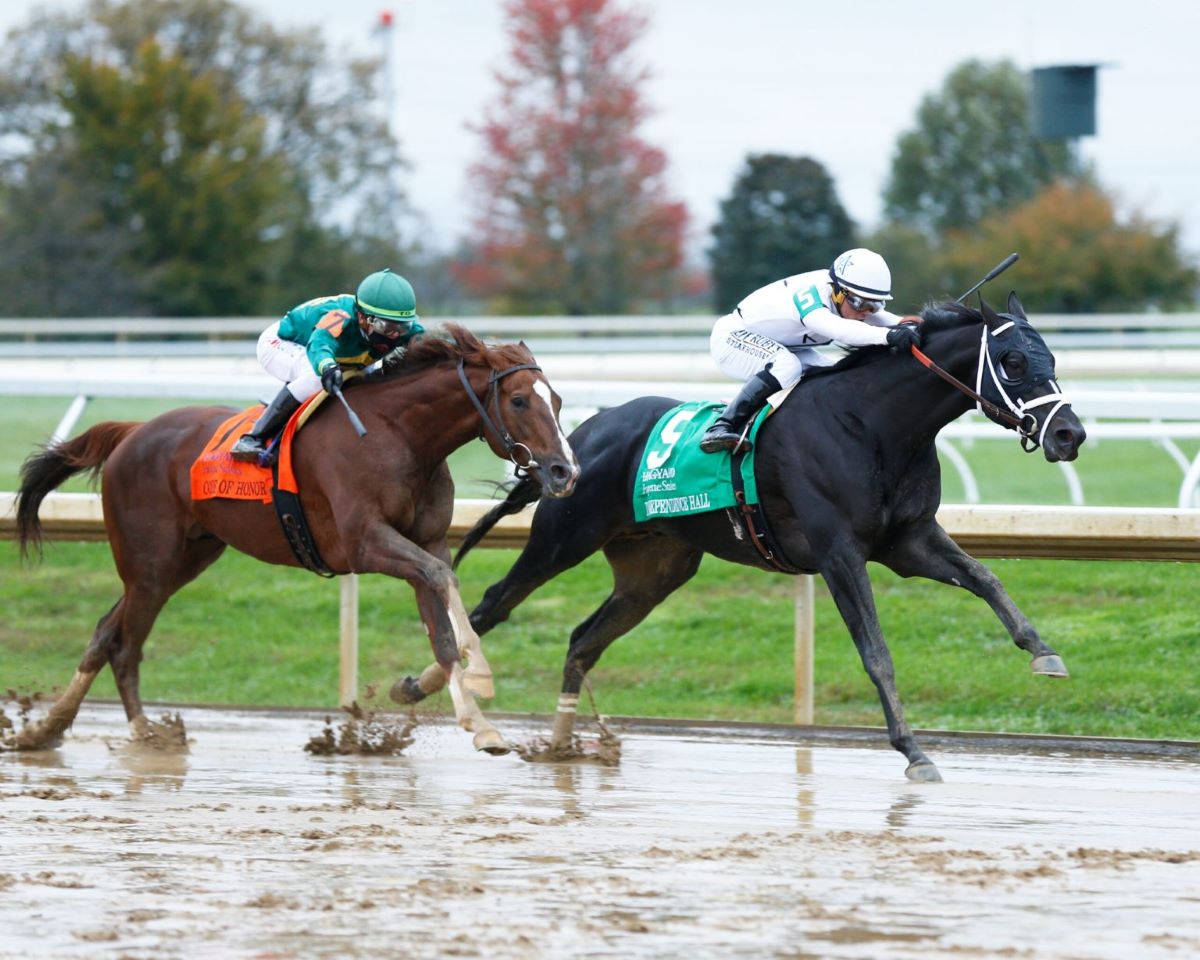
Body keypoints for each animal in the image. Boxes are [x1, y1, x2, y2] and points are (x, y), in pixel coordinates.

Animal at [8, 326, 580, 753]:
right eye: (519, 400)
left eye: (557, 400)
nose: (563, 471)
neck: (400, 434)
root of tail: (133, 432)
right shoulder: (365, 543)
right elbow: (443, 579)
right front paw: (482, 674)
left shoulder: (427, 542)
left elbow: (440, 620)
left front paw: (480, 724)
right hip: (149, 562)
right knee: (125, 645)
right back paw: (144, 733)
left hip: (185, 558)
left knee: (106, 631)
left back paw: (48, 728)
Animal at [424, 292, 1089, 777]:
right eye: (1013, 364)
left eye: (1053, 360)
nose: (1070, 435)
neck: (872, 424)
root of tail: (578, 437)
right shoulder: (839, 553)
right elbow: (876, 652)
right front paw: (913, 750)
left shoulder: (908, 540)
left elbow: (986, 577)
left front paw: (1043, 652)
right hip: (563, 539)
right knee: (491, 606)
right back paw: (420, 690)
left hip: (657, 569)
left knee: (584, 639)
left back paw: (562, 743)